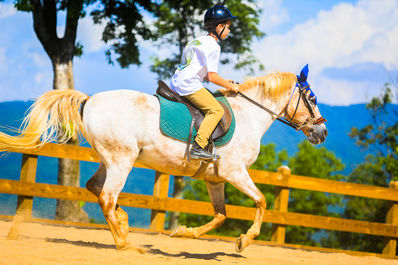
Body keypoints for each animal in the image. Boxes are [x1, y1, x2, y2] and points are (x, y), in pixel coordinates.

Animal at [0, 65, 326, 252]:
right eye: (311, 99)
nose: (322, 132)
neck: (250, 116)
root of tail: (90, 100)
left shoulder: (216, 179)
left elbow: (220, 215)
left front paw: (183, 233)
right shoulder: (235, 172)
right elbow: (261, 201)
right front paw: (244, 240)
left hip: (110, 159)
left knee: (96, 189)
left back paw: (124, 225)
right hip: (122, 160)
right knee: (106, 196)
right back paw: (124, 244)